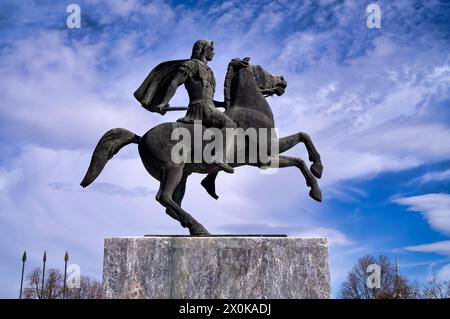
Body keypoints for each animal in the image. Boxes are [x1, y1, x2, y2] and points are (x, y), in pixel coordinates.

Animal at [79, 58, 322, 236]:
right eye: (261, 68)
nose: (283, 81)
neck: (251, 109)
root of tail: (142, 137)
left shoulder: (267, 154)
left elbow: (303, 136)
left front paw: (317, 170)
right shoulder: (265, 158)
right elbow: (299, 158)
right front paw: (316, 186)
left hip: (182, 175)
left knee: (170, 204)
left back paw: (193, 225)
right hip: (173, 169)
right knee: (163, 197)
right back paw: (199, 227)